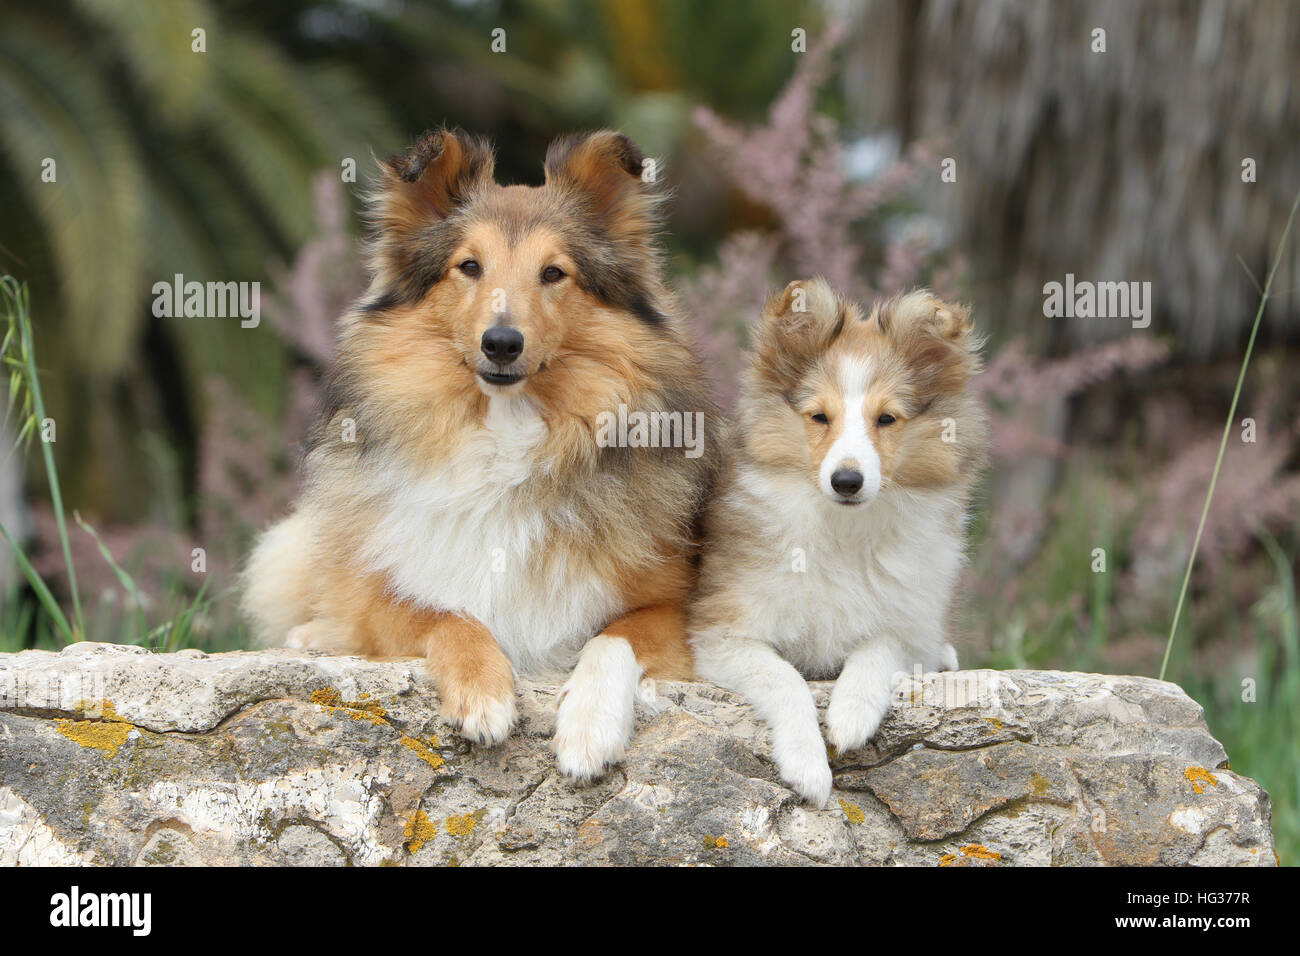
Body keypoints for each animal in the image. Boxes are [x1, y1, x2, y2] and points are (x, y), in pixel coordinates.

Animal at [243, 128, 712, 780]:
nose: (502, 343)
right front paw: (484, 694)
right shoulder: (385, 585)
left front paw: (590, 726)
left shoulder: (677, 608)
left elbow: (613, 637)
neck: (506, 435)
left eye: (553, 273)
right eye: (469, 266)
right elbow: (439, 612)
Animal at [691, 278, 982, 806]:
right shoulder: (721, 634)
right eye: (819, 417)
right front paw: (807, 765)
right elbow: (784, 679)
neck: (843, 530)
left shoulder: (909, 626)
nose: (847, 481)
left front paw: (850, 717)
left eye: (886, 419)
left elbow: (878, 648)